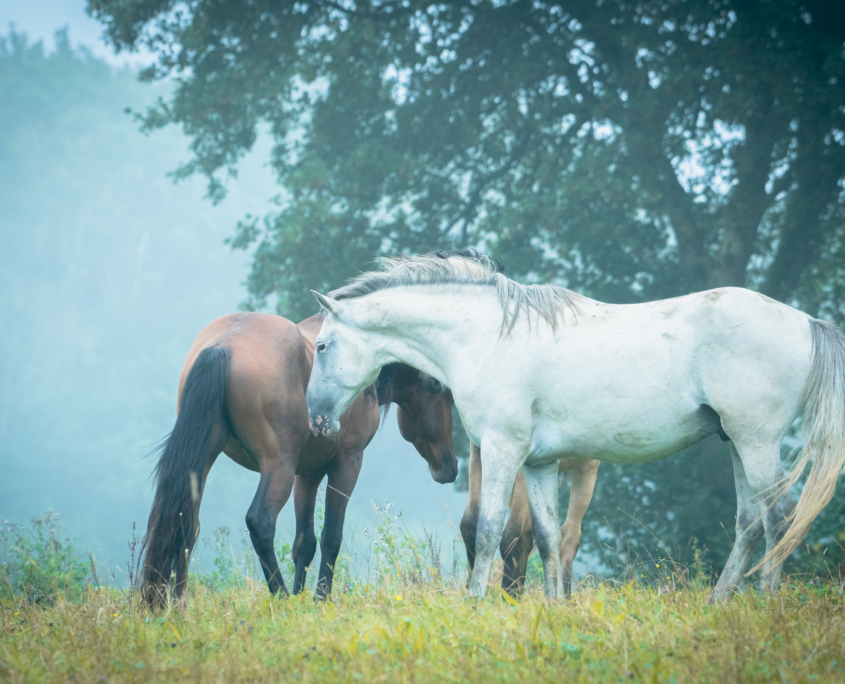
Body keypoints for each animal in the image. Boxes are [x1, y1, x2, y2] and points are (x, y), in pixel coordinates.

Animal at [140, 312, 454, 608]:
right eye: (446, 393)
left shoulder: (307, 473)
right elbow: (331, 536)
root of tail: (224, 344)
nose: (450, 468)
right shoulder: (347, 463)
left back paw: (177, 603)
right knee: (260, 521)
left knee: (185, 524)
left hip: (204, 461)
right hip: (278, 465)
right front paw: (320, 598)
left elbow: (304, 542)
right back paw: (281, 598)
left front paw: (303, 597)